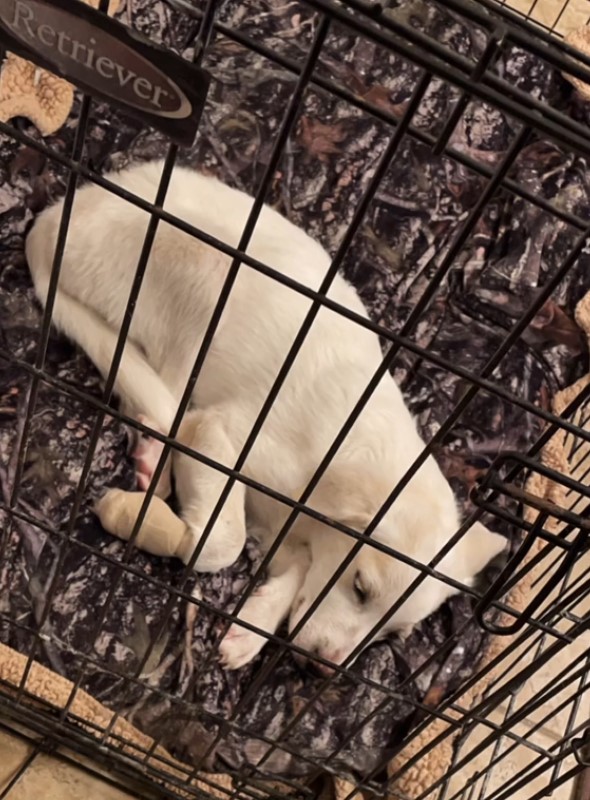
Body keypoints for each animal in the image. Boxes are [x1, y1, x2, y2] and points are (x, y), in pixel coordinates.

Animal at [26, 162, 508, 676]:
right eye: (360, 588)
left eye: (391, 634)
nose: (323, 670)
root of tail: (57, 215)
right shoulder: (219, 434)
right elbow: (225, 542)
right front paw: (179, 535)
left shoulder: (292, 535)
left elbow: (296, 570)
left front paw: (252, 627)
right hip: (204, 276)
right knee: (161, 390)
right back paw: (156, 455)